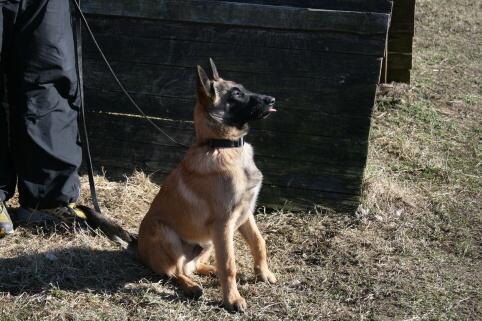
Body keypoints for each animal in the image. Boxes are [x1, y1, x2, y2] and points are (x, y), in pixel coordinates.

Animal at [84, 58, 276, 312]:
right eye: (236, 94)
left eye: (243, 88)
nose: (272, 99)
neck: (220, 145)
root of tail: (138, 245)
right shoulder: (224, 223)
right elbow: (229, 266)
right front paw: (232, 299)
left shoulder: (245, 215)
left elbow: (258, 243)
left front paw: (263, 274)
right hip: (167, 234)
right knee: (174, 272)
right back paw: (191, 286)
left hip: (209, 242)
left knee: (191, 266)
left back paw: (208, 270)